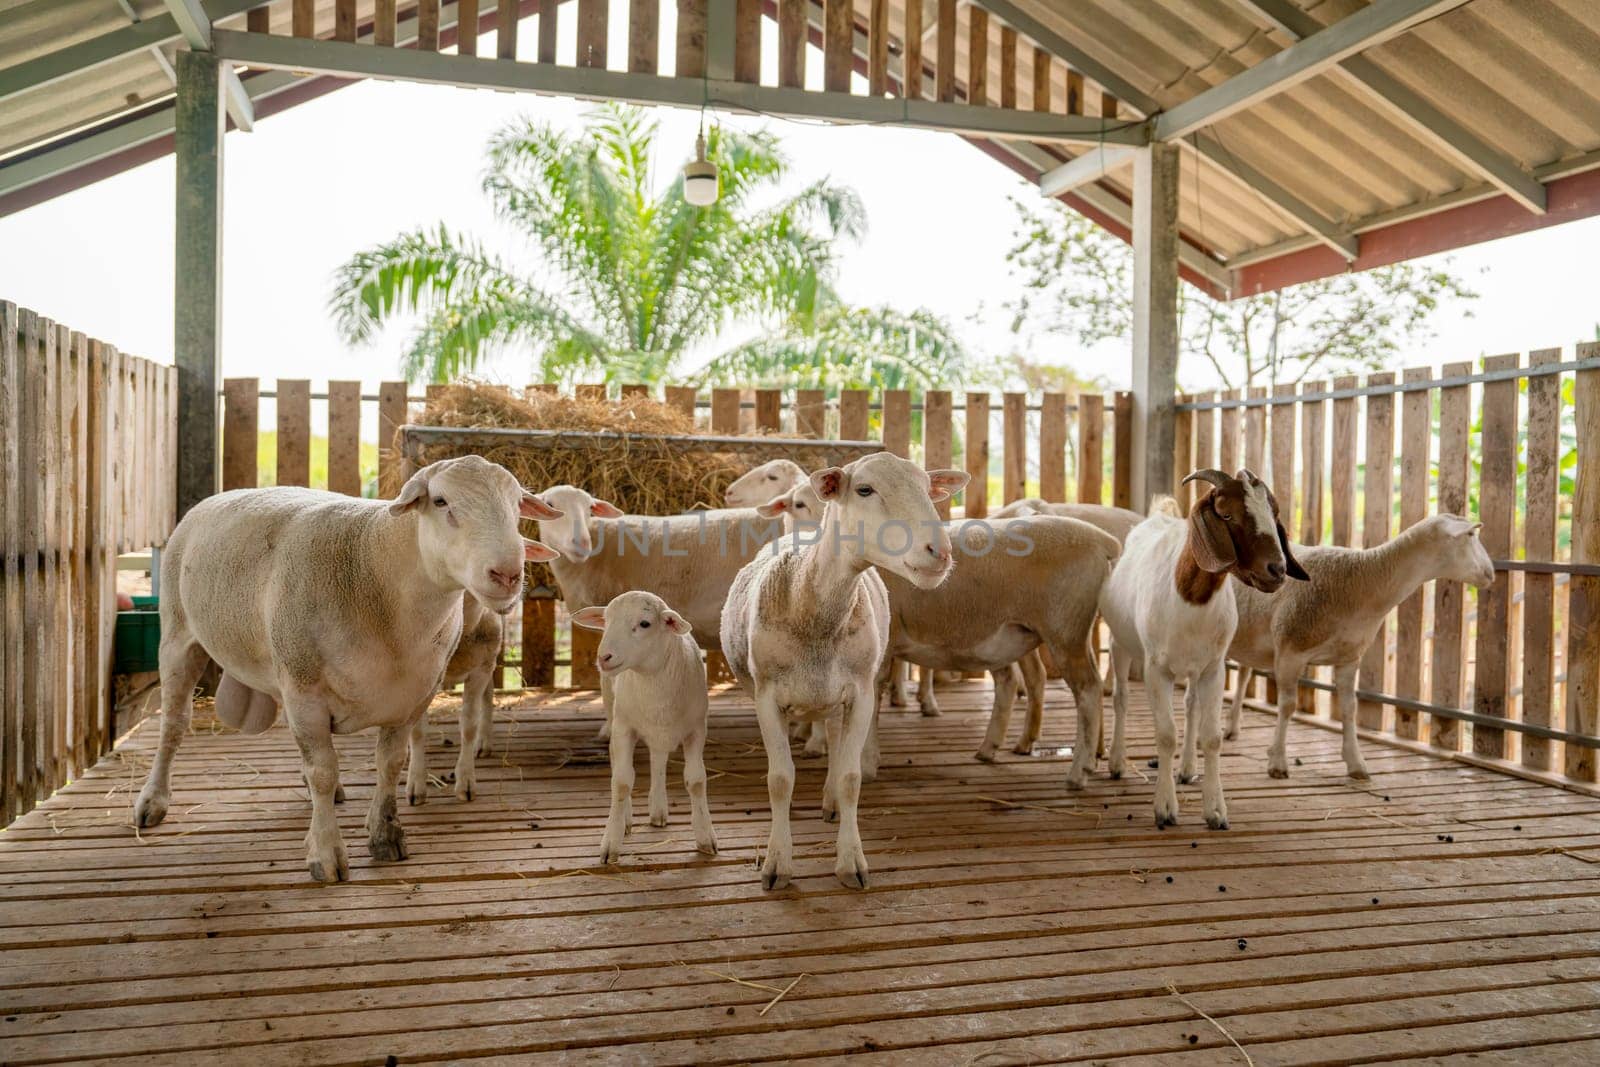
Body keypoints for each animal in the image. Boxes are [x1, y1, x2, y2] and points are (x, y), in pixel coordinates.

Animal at [136, 460, 563, 883]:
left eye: (516, 504)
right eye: (441, 501)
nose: (508, 575)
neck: (375, 570)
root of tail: (217, 497)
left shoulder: (411, 695)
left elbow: (390, 763)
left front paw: (385, 836)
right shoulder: (304, 689)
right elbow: (324, 770)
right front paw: (326, 854)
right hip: (177, 634)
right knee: (174, 724)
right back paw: (152, 801)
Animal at [576, 588, 720, 863]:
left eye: (644, 624)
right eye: (606, 621)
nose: (603, 657)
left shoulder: (697, 729)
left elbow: (696, 780)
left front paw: (705, 837)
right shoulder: (624, 728)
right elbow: (621, 782)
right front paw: (611, 841)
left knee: (658, 760)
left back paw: (658, 810)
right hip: (613, 708)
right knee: (618, 763)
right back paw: (626, 818)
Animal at [723, 454, 966, 895]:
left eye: (927, 489)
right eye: (865, 489)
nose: (939, 552)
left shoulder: (861, 694)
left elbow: (852, 777)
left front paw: (851, 861)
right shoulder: (766, 698)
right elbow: (779, 780)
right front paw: (777, 864)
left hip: (838, 697)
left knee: (837, 747)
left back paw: (831, 801)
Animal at [1100, 470, 1312, 831]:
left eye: (1274, 514)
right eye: (1226, 515)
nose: (1277, 570)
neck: (1189, 597)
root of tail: (1157, 515)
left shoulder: (1214, 668)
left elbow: (1211, 736)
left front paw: (1215, 811)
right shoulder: (1156, 669)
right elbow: (1165, 734)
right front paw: (1165, 808)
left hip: (1194, 667)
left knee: (1190, 705)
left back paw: (1186, 769)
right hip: (1119, 643)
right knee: (1121, 699)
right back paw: (1116, 762)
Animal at [1209, 511, 1497, 780]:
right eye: (1470, 535)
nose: (1491, 574)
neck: (1361, 582)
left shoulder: (1349, 657)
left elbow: (1350, 710)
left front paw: (1356, 763)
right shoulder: (1291, 651)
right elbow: (1288, 706)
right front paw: (1278, 761)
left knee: (1243, 672)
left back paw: (1232, 727)